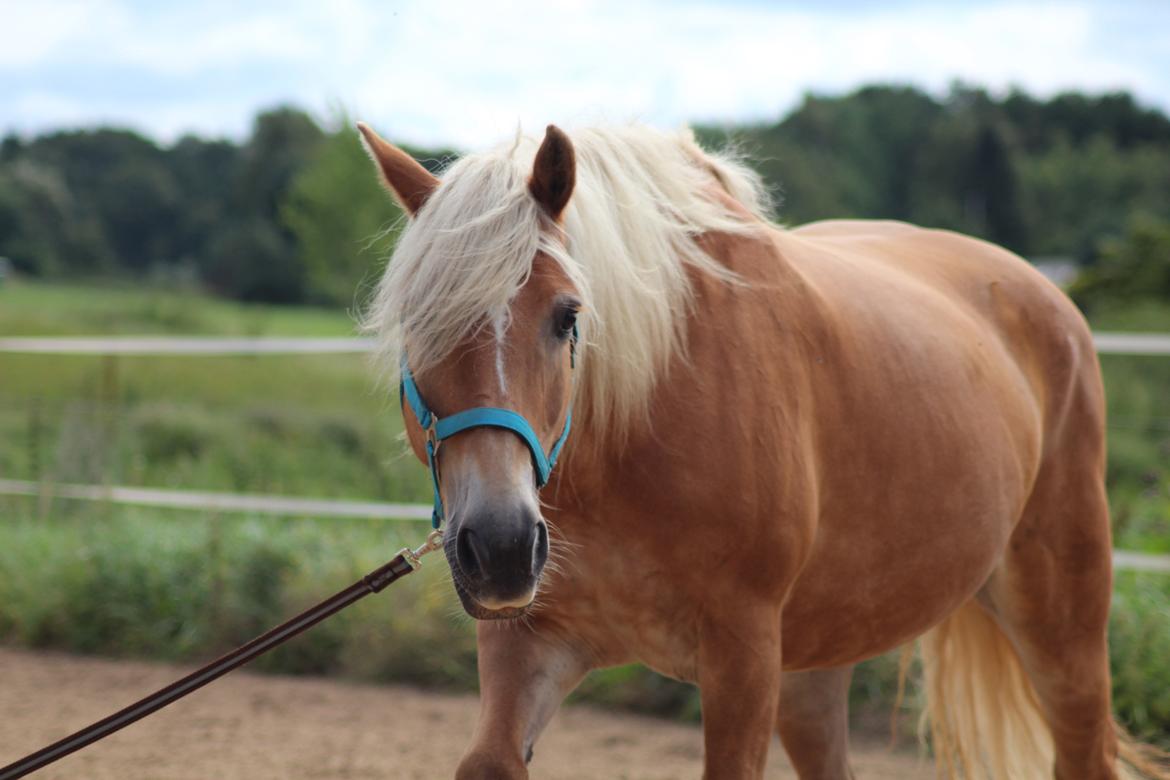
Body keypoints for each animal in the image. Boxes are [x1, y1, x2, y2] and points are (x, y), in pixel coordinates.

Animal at [355, 119, 1170, 776]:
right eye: (415, 324)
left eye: (567, 316)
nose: (498, 547)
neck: (634, 436)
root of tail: (1050, 296)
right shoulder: (529, 639)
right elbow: (488, 762)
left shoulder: (743, 659)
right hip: (816, 667)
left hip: (1063, 625)